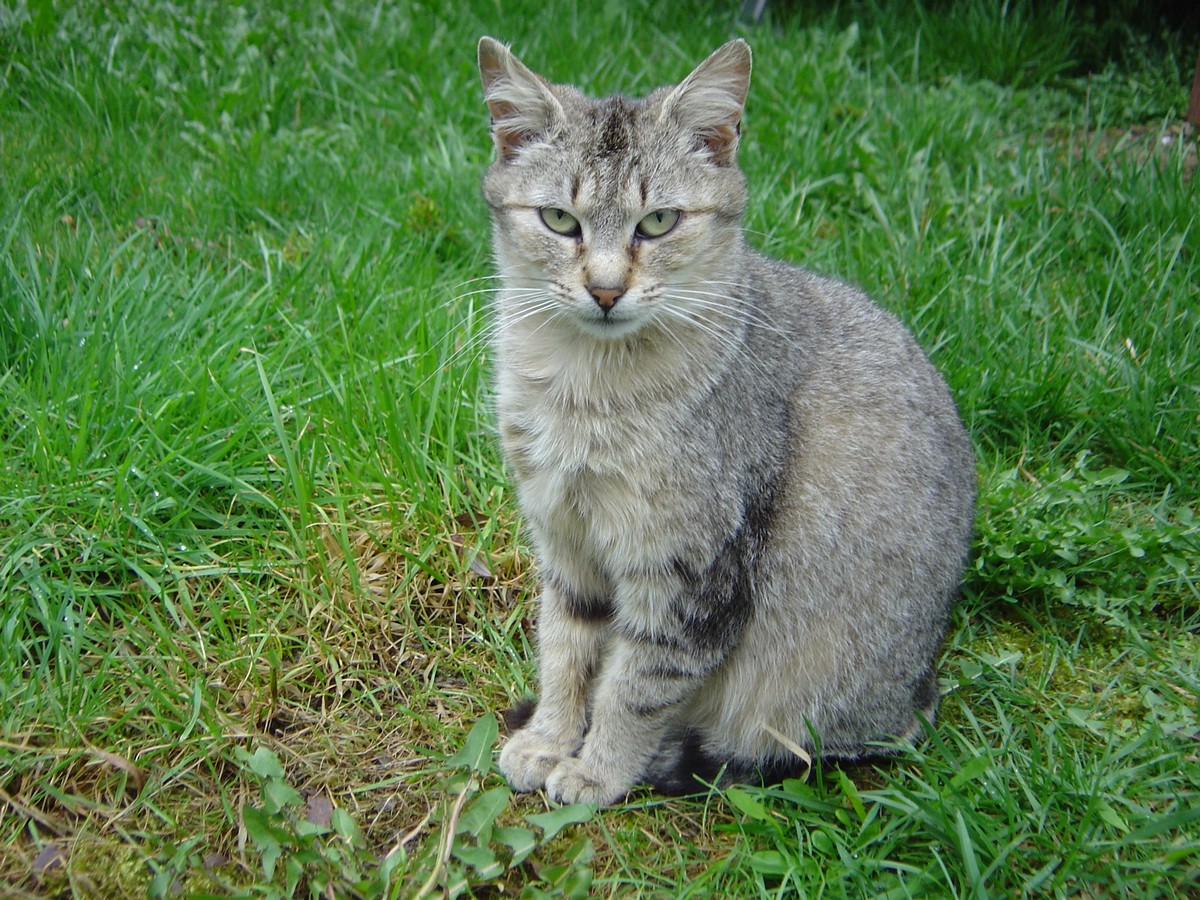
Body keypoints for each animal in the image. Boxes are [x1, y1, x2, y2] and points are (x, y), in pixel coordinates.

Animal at [475, 37, 974, 811]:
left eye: (659, 222)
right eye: (559, 220)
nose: (606, 290)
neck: (587, 390)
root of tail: (919, 694)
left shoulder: (693, 575)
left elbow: (634, 685)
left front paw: (597, 769)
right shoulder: (566, 541)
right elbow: (565, 652)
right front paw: (551, 737)